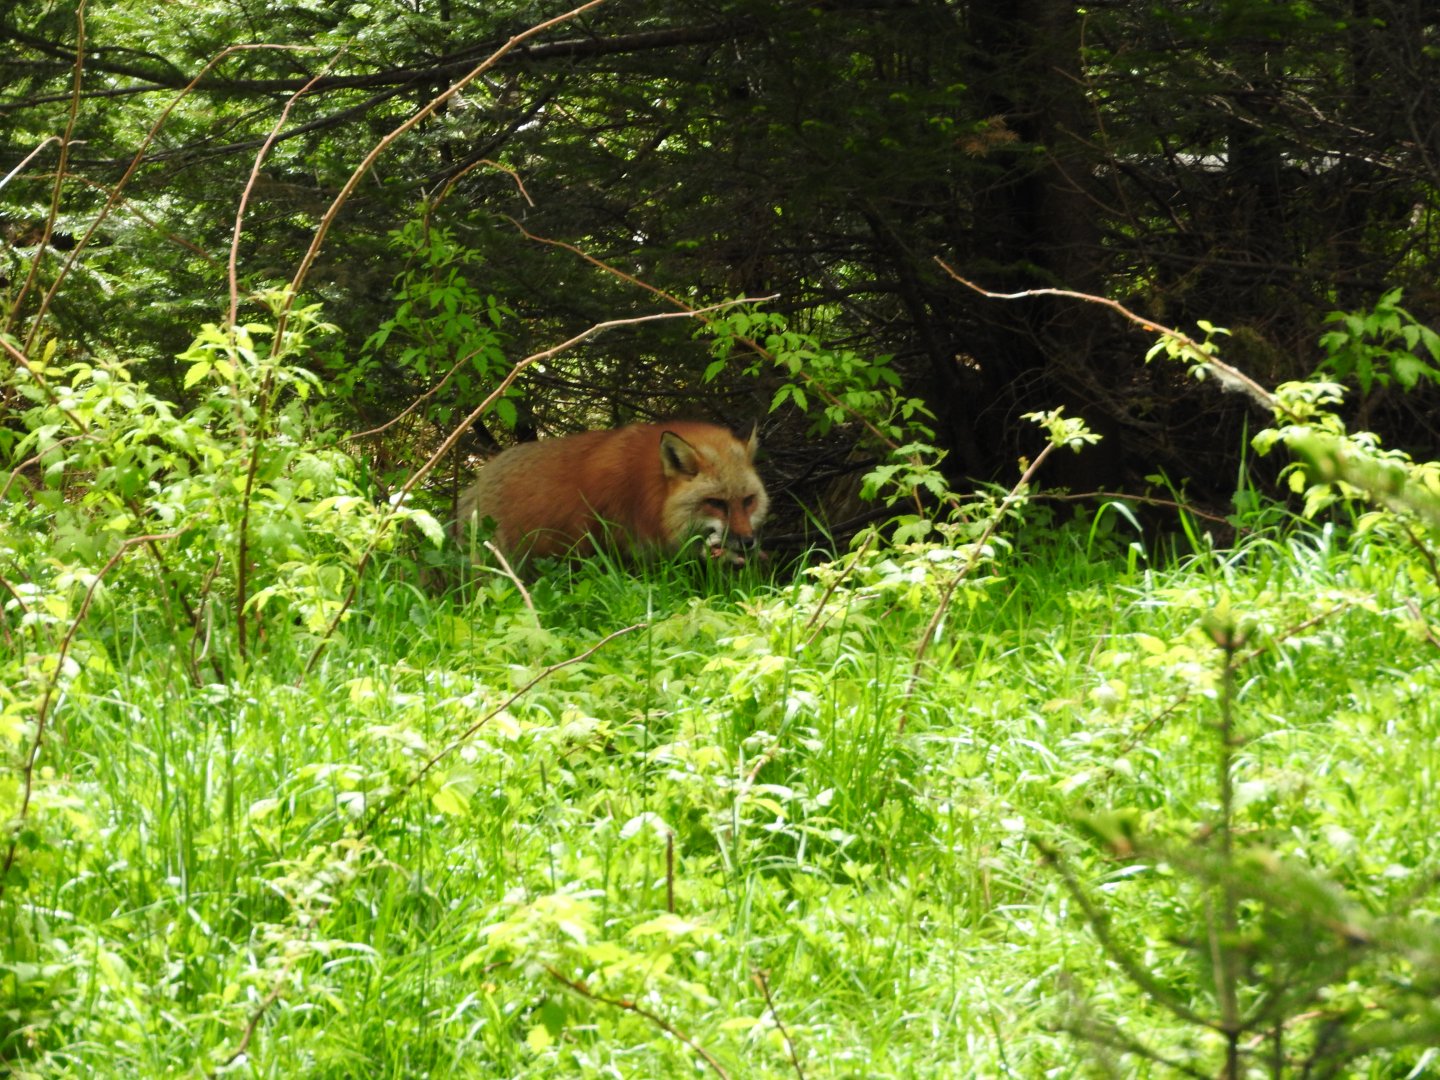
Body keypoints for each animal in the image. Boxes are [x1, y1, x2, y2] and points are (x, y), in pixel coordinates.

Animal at [456, 421, 769, 566]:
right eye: (715, 503)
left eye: (748, 501)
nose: (748, 542)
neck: (645, 493)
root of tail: (479, 478)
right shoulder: (619, 551)